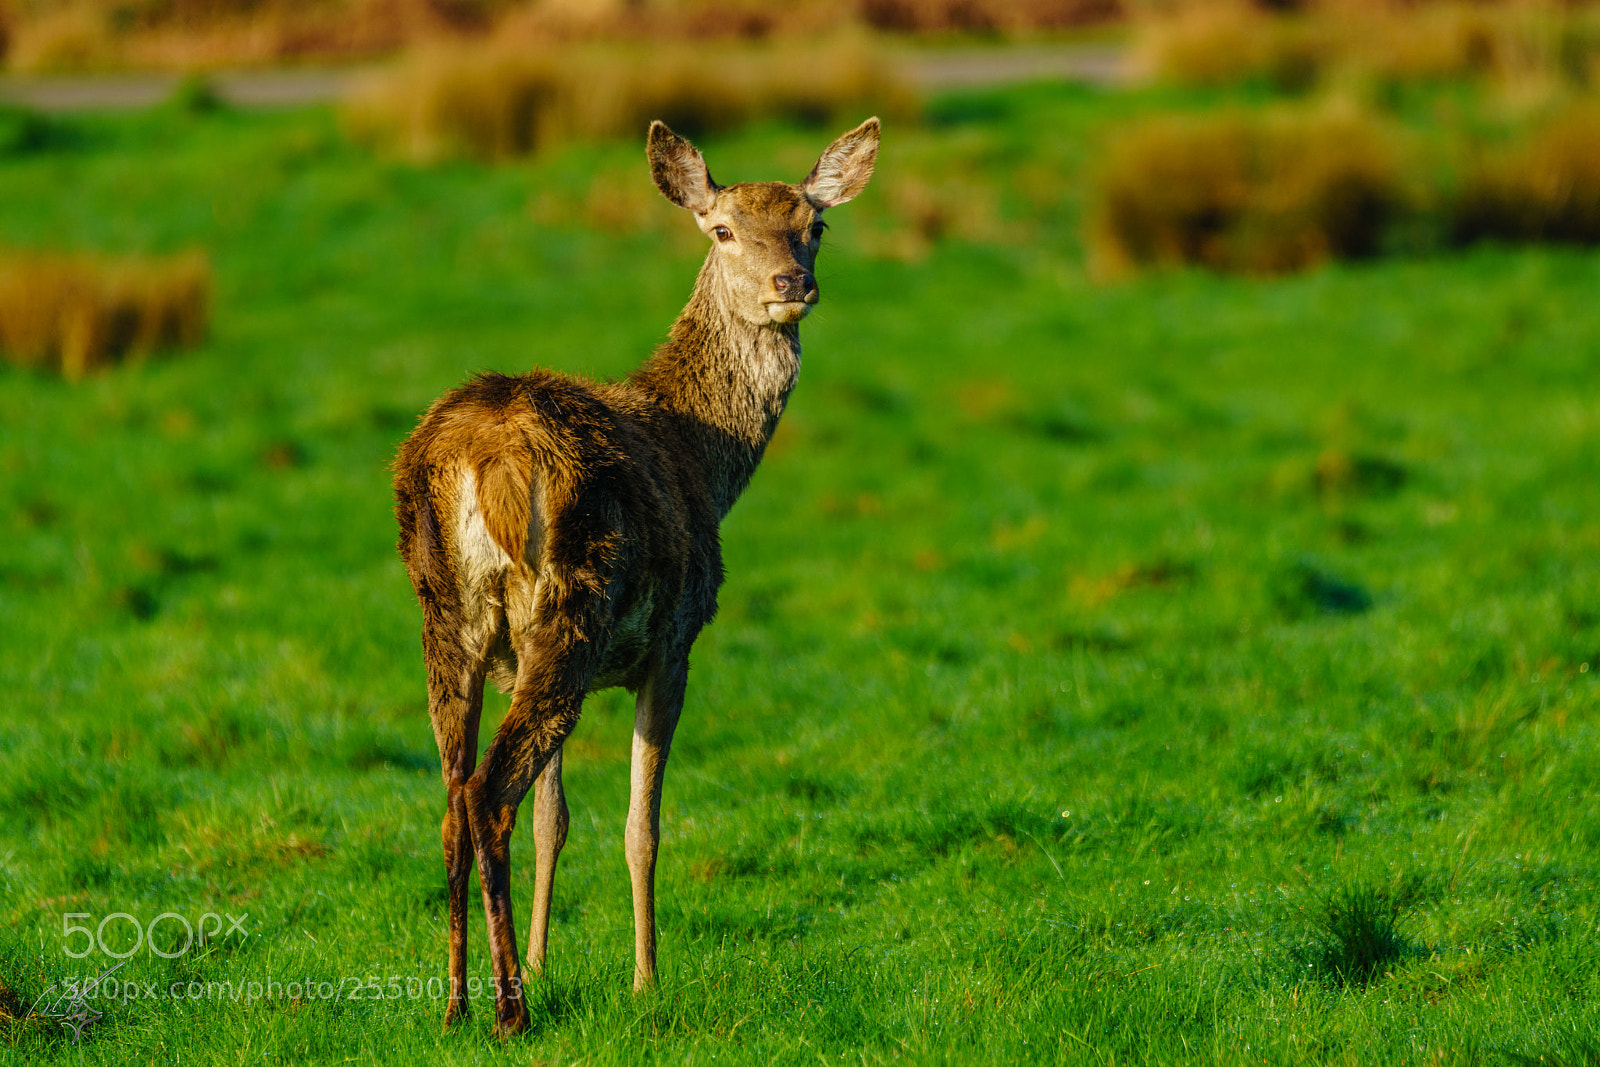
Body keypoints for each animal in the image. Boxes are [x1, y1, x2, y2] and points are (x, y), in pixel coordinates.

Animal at [392, 116, 879, 1035]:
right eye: (721, 230)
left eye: (816, 224)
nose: (791, 282)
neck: (705, 460)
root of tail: (482, 460)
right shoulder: (673, 642)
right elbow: (641, 825)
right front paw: (646, 979)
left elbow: (556, 819)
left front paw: (546, 958)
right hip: (575, 601)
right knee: (488, 791)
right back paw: (509, 1010)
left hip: (451, 617)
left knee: (451, 795)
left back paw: (456, 1003)